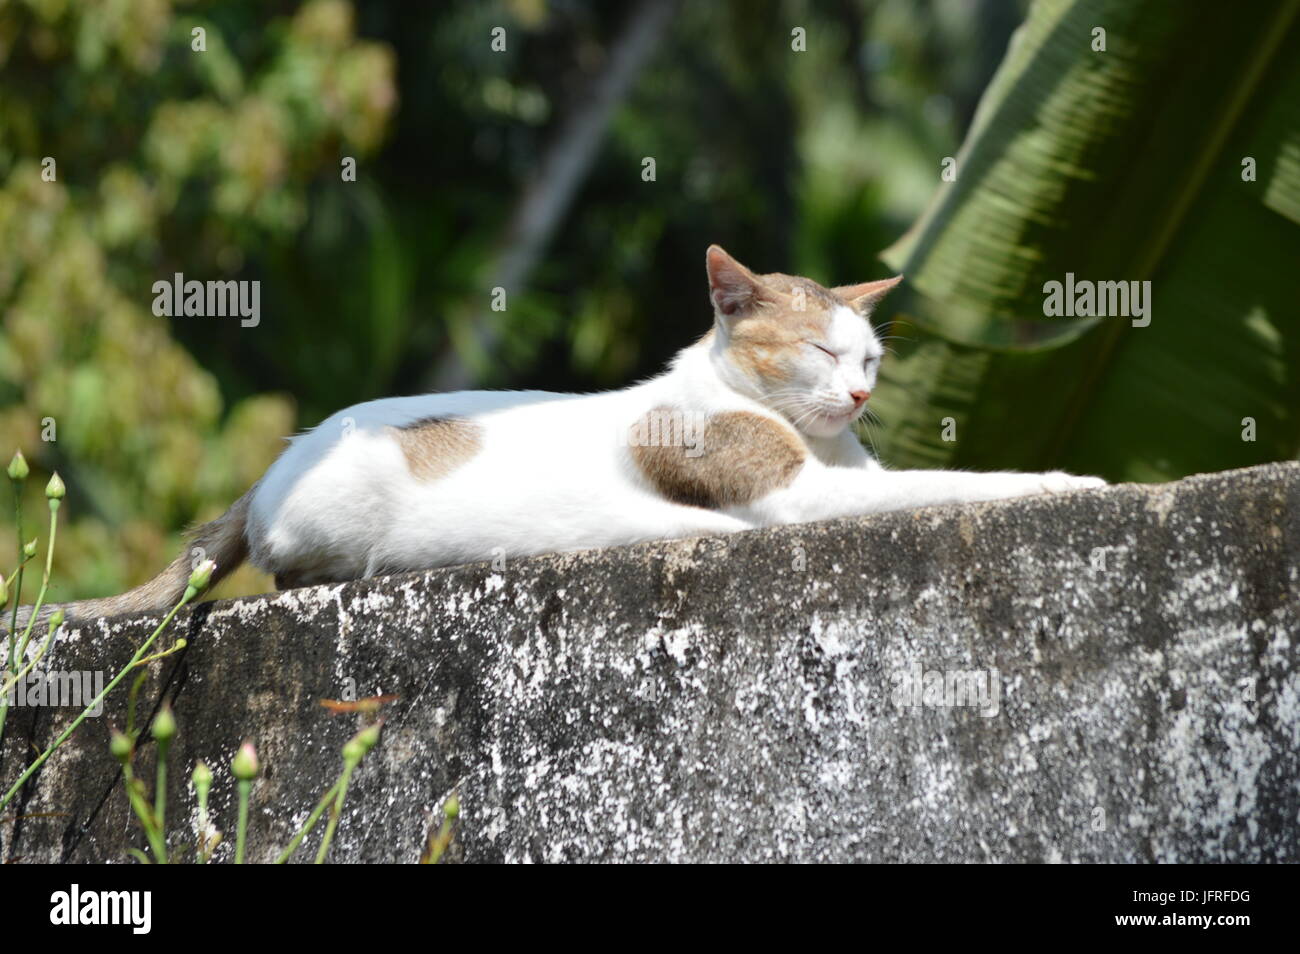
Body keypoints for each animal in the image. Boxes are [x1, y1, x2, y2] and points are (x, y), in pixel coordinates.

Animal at [30, 244, 1102, 629]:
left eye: (870, 356)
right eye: (816, 350)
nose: (859, 393)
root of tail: (270, 470)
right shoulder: (795, 492)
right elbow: (951, 480)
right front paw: (1062, 479)